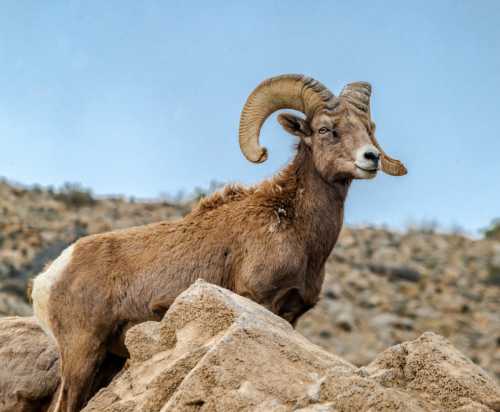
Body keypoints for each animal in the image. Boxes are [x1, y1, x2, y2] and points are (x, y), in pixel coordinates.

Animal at [30, 72, 406, 410]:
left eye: (369, 128)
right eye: (326, 129)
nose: (370, 158)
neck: (295, 229)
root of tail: (50, 276)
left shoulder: (292, 314)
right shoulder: (259, 299)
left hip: (108, 359)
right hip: (83, 354)